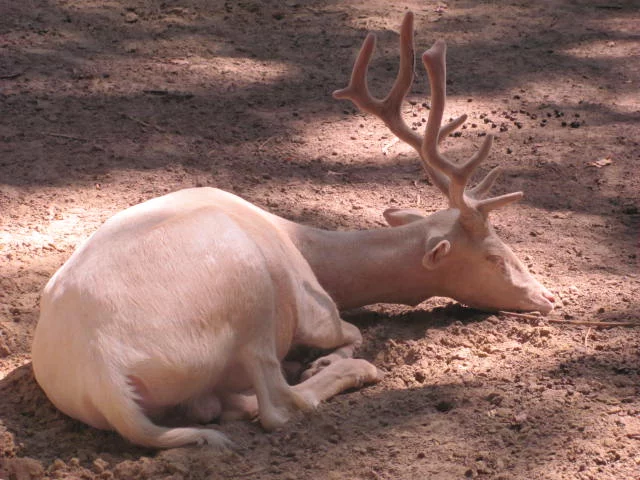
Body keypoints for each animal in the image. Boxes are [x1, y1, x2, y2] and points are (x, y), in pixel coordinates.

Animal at [31, 12, 554, 449]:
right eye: (494, 255)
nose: (548, 297)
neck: (304, 247)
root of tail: (107, 376)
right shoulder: (314, 308)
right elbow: (350, 332)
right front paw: (330, 359)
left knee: (217, 407)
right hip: (252, 299)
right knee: (279, 405)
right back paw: (351, 371)